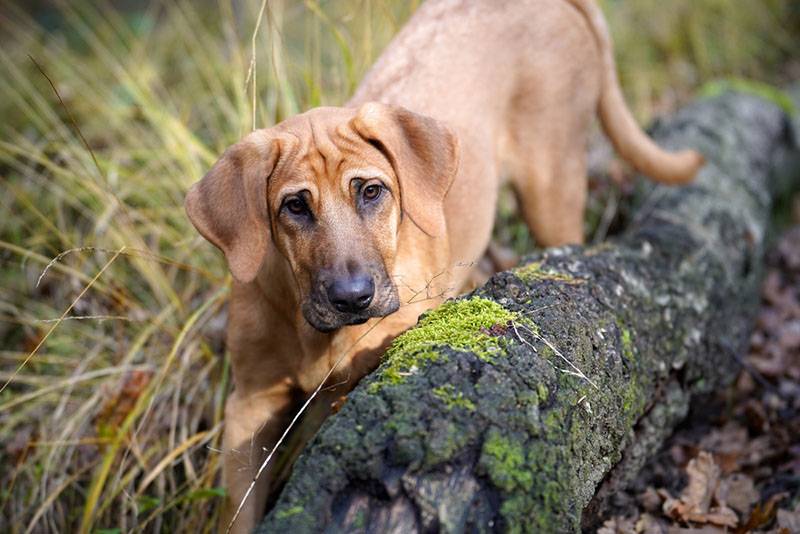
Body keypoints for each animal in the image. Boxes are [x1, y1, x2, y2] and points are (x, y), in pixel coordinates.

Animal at [183, 1, 700, 532]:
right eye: (295, 207)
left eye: (372, 191)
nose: (353, 298)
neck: (310, 327)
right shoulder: (248, 406)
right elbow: (238, 511)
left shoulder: (345, 388)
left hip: (551, 183)